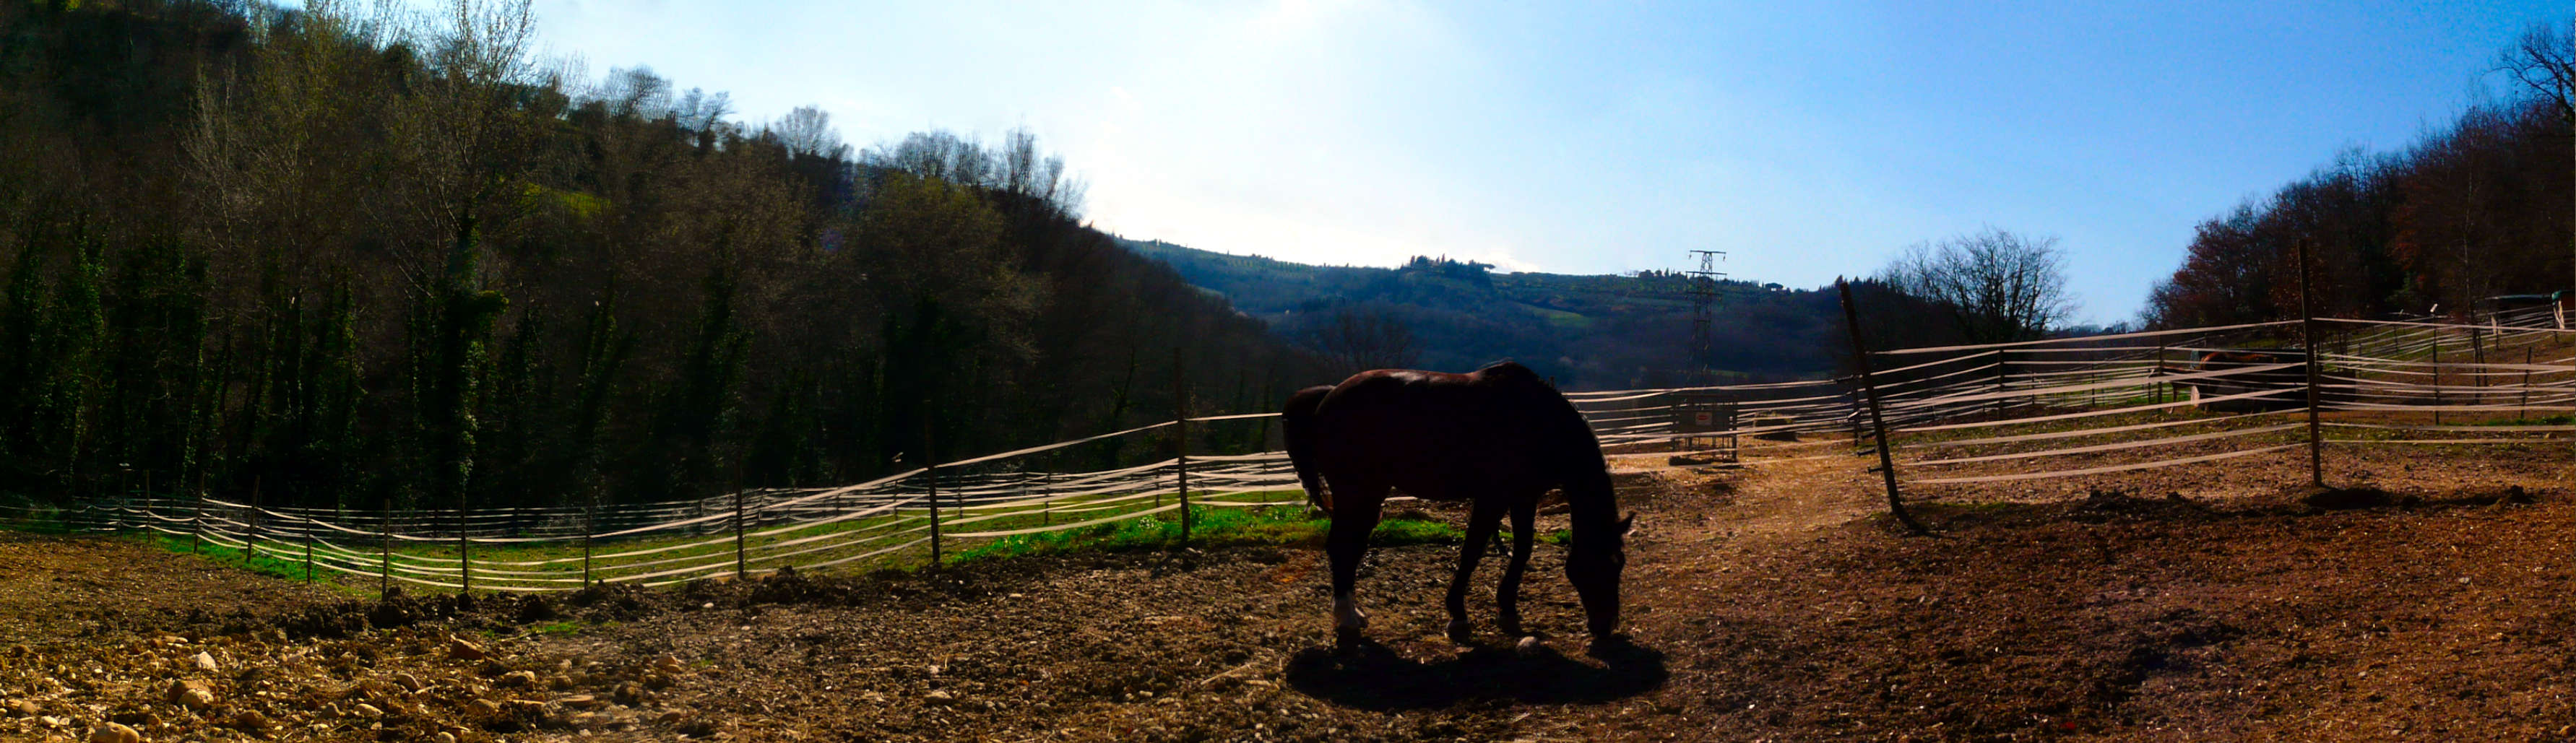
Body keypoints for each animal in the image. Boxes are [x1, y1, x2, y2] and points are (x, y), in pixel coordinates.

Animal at [1282, 361, 1634, 645]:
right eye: (1605, 564)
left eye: (1620, 564)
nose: (1605, 627)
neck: (1534, 420)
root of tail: (1328, 396)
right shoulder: (1493, 497)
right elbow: (1473, 550)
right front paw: (1458, 617)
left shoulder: (1524, 496)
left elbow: (1522, 548)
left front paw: (1508, 610)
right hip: (1358, 493)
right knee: (1341, 547)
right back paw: (1347, 619)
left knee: (1350, 548)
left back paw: (1354, 613)